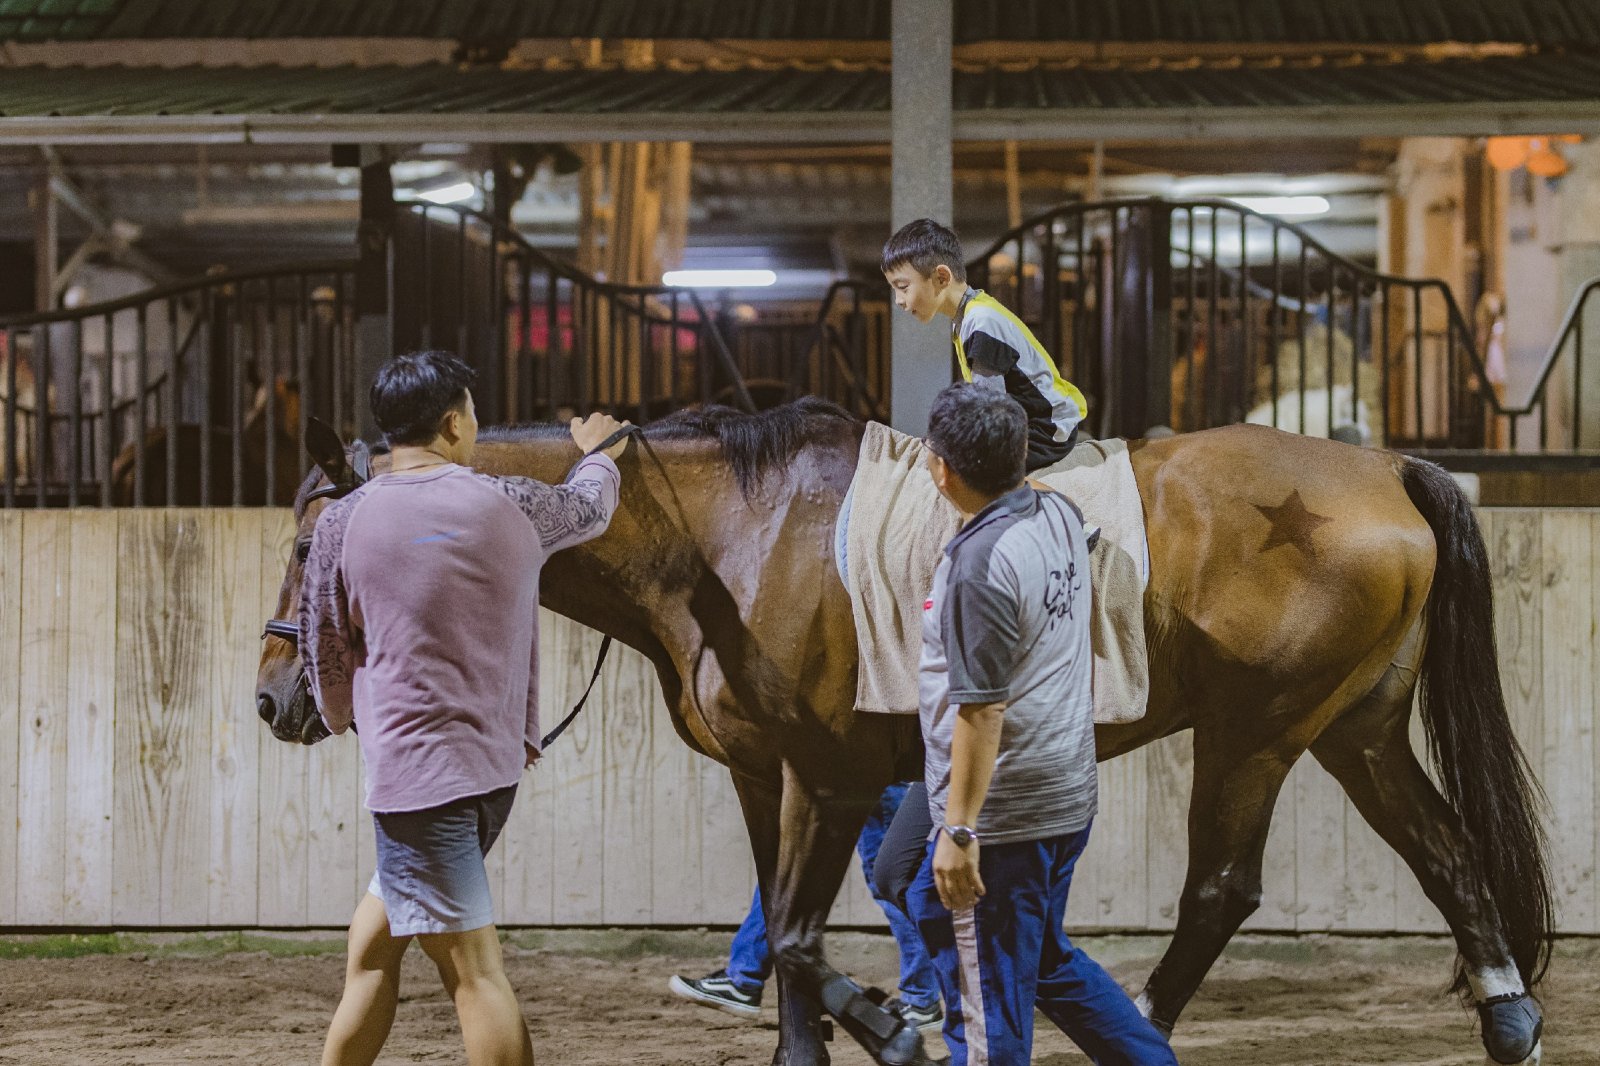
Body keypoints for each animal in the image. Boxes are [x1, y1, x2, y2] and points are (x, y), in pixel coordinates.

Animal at [255, 398, 1551, 1066]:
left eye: (310, 540)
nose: (273, 697)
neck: (727, 540)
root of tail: (1384, 469)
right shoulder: (766, 773)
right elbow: (782, 923)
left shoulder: (827, 777)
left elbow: (796, 933)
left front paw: (891, 1025)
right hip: (1357, 727)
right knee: (1446, 854)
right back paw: (1508, 1019)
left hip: (1260, 728)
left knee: (1220, 888)